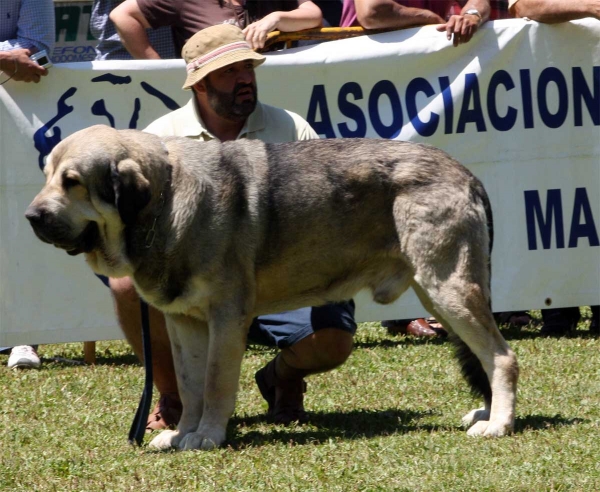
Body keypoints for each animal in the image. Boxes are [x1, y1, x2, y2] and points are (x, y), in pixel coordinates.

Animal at [25, 124, 516, 450]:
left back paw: (499, 424)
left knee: (502, 357)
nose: (32, 217)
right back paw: (488, 412)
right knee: (484, 355)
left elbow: (215, 383)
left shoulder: (226, 319)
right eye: (47, 175)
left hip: (449, 288)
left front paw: (207, 437)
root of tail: (466, 173)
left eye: (72, 182)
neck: (166, 201)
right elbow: (190, 385)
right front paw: (182, 434)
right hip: (437, 293)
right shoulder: (184, 322)